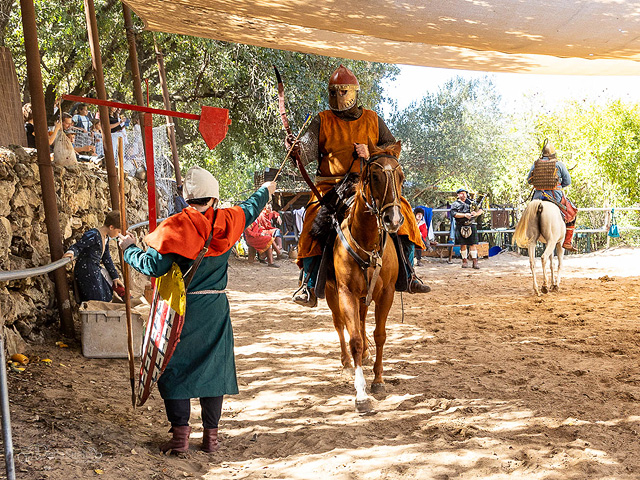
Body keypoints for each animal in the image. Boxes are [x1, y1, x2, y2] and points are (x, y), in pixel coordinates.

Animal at [328, 141, 402, 410]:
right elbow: (355, 340)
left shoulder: (386, 293)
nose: (394, 219)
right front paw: (361, 393)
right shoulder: (346, 293)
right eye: (375, 177)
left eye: (401, 177)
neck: (367, 244)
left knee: (360, 321)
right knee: (341, 325)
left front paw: (378, 380)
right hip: (333, 294)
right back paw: (347, 363)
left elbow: (379, 335)